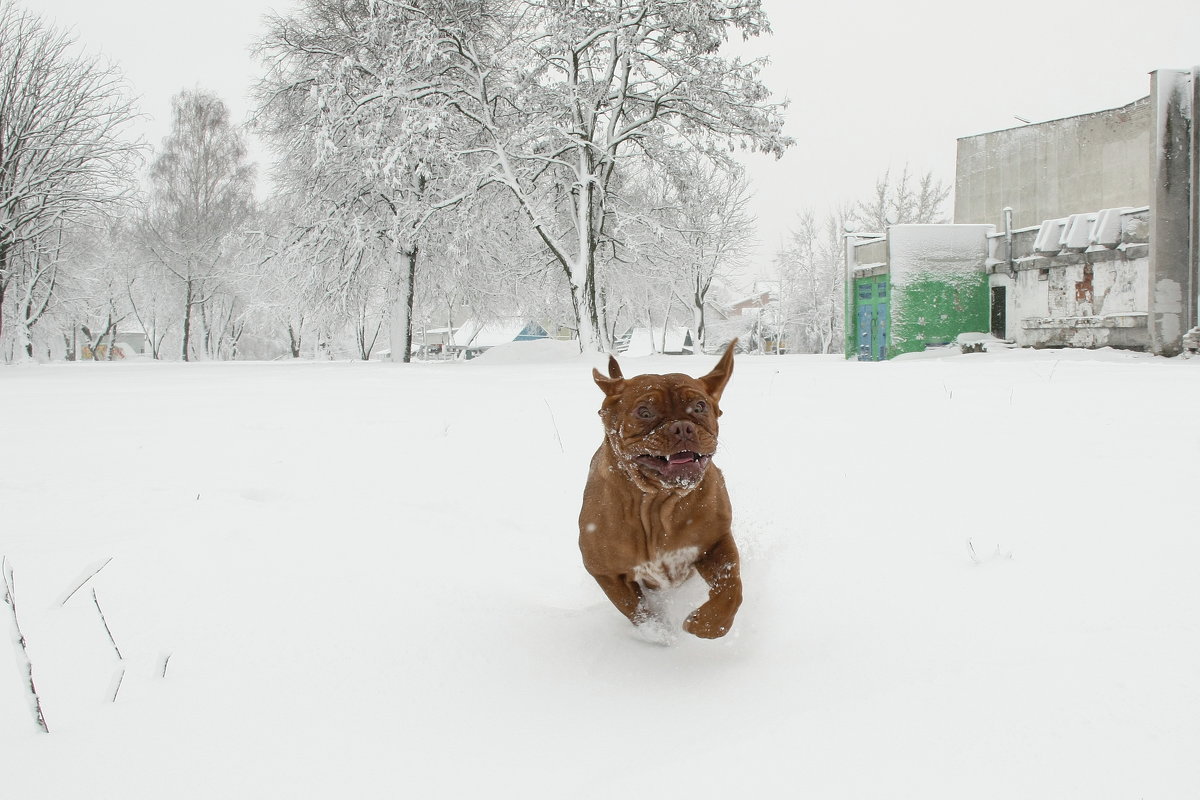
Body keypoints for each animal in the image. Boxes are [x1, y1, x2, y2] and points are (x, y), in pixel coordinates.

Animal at [578, 340, 739, 642]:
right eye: (644, 412)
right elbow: (634, 609)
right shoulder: (606, 572)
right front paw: (658, 633)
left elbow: (730, 589)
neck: (656, 502)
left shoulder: (715, 542)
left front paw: (706, 624)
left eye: (700, 406)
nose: (683, 427)